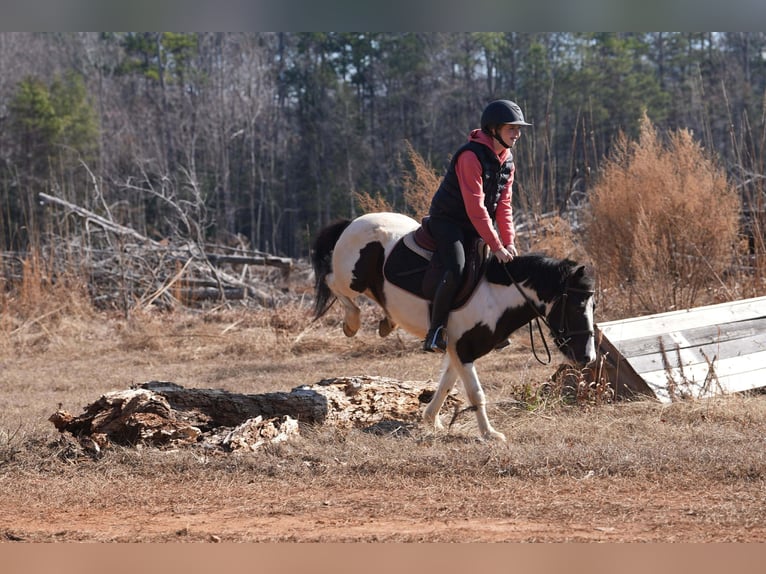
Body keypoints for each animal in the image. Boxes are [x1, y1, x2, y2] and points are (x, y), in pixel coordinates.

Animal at [311, 212, 596, 441]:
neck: (494, 295)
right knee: (331, 281)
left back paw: (388, 321)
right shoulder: (463, 349)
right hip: (351, 279)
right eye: (575, 306)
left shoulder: (454, 349)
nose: (588, 357)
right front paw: (490, 434)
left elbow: (447, 384)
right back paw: (352, 322)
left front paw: (431, 419)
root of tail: (352, 222)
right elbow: (475, 392)